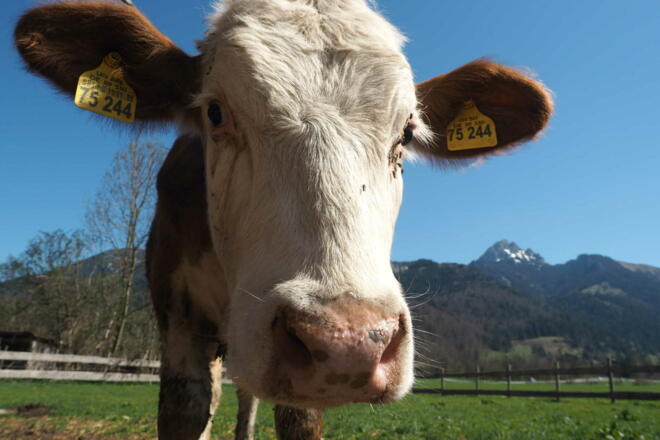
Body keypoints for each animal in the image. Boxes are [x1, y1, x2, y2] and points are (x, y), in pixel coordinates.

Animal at [14, 1, 553, 439]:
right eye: (215, 112)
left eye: (406, 132)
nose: (350, 342)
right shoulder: (178, 316)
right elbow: (187, 408)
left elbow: (296, 419)